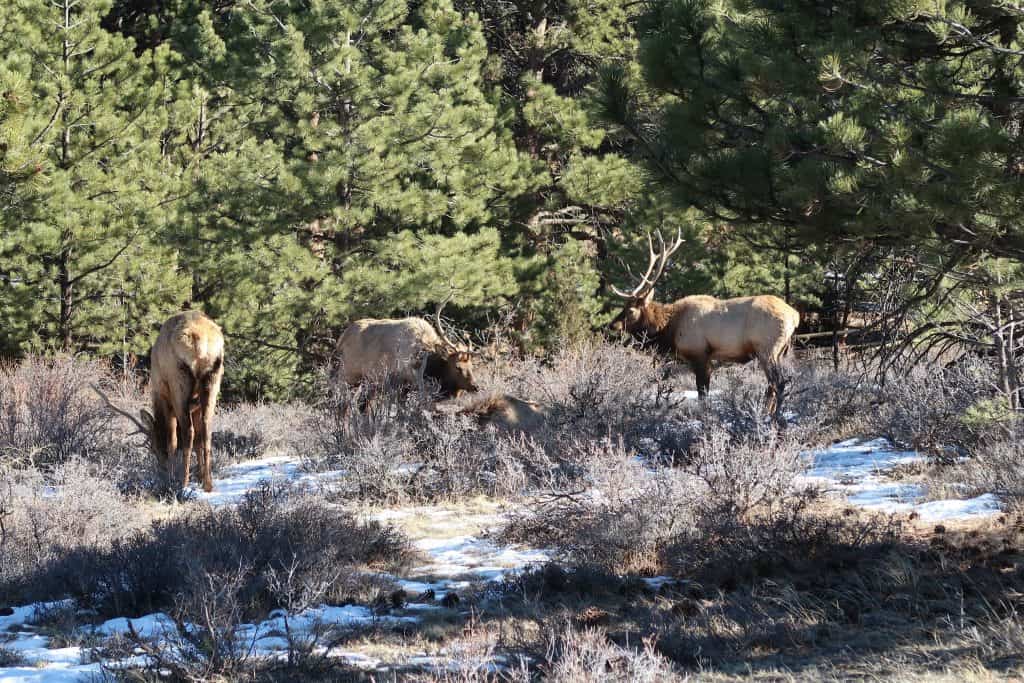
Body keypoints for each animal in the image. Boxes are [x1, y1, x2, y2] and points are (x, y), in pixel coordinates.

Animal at [95, 309, 224, 491]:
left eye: (154, 447)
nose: (161, 468)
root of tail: (201, 343)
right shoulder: (196, 405)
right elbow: (199, 439)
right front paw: (199, 477)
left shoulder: (164, 398)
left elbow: (172, 440)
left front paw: (173, 474)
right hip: (213, 380)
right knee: (207, 430)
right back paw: (208, 484)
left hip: (178, 381)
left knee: (187, 432)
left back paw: (183, 483)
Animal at [606, 231, 798, 417]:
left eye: (631, 311)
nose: (612, 325)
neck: (670, 329)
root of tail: (794, 315)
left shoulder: (699, 353)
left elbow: (702, 392)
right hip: (780, 352)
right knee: (774, 384)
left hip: (767, 348)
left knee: (778, 383)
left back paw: (770, 416)